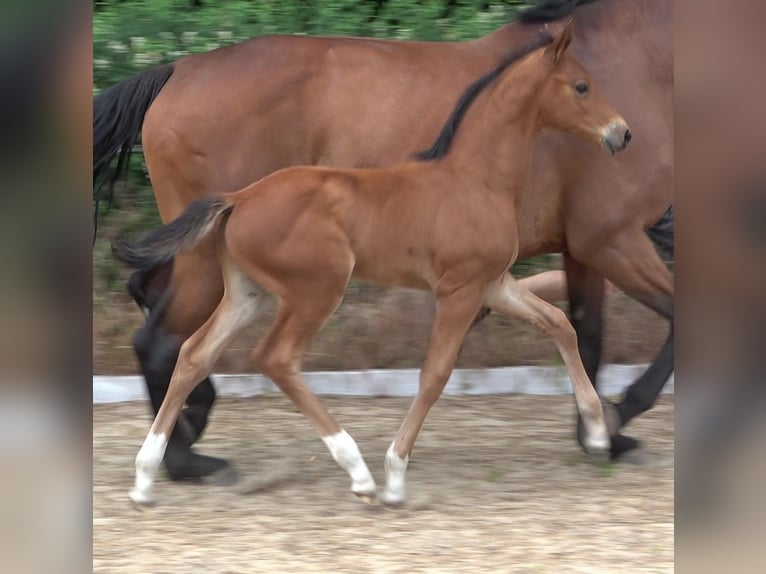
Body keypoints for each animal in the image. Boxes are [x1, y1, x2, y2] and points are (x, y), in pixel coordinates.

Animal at [93, 0, 676, 486]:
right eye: (581, 86)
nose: (621, 134)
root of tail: (176, 71)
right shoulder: (605, 240)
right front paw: (613, 425)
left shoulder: (540, 265)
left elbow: (574, 327)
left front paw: (600, 430)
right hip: (271, 279)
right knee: (184, 342)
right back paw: (196, 460)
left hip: (230, 276)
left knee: (171, 323)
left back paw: (178, 446)